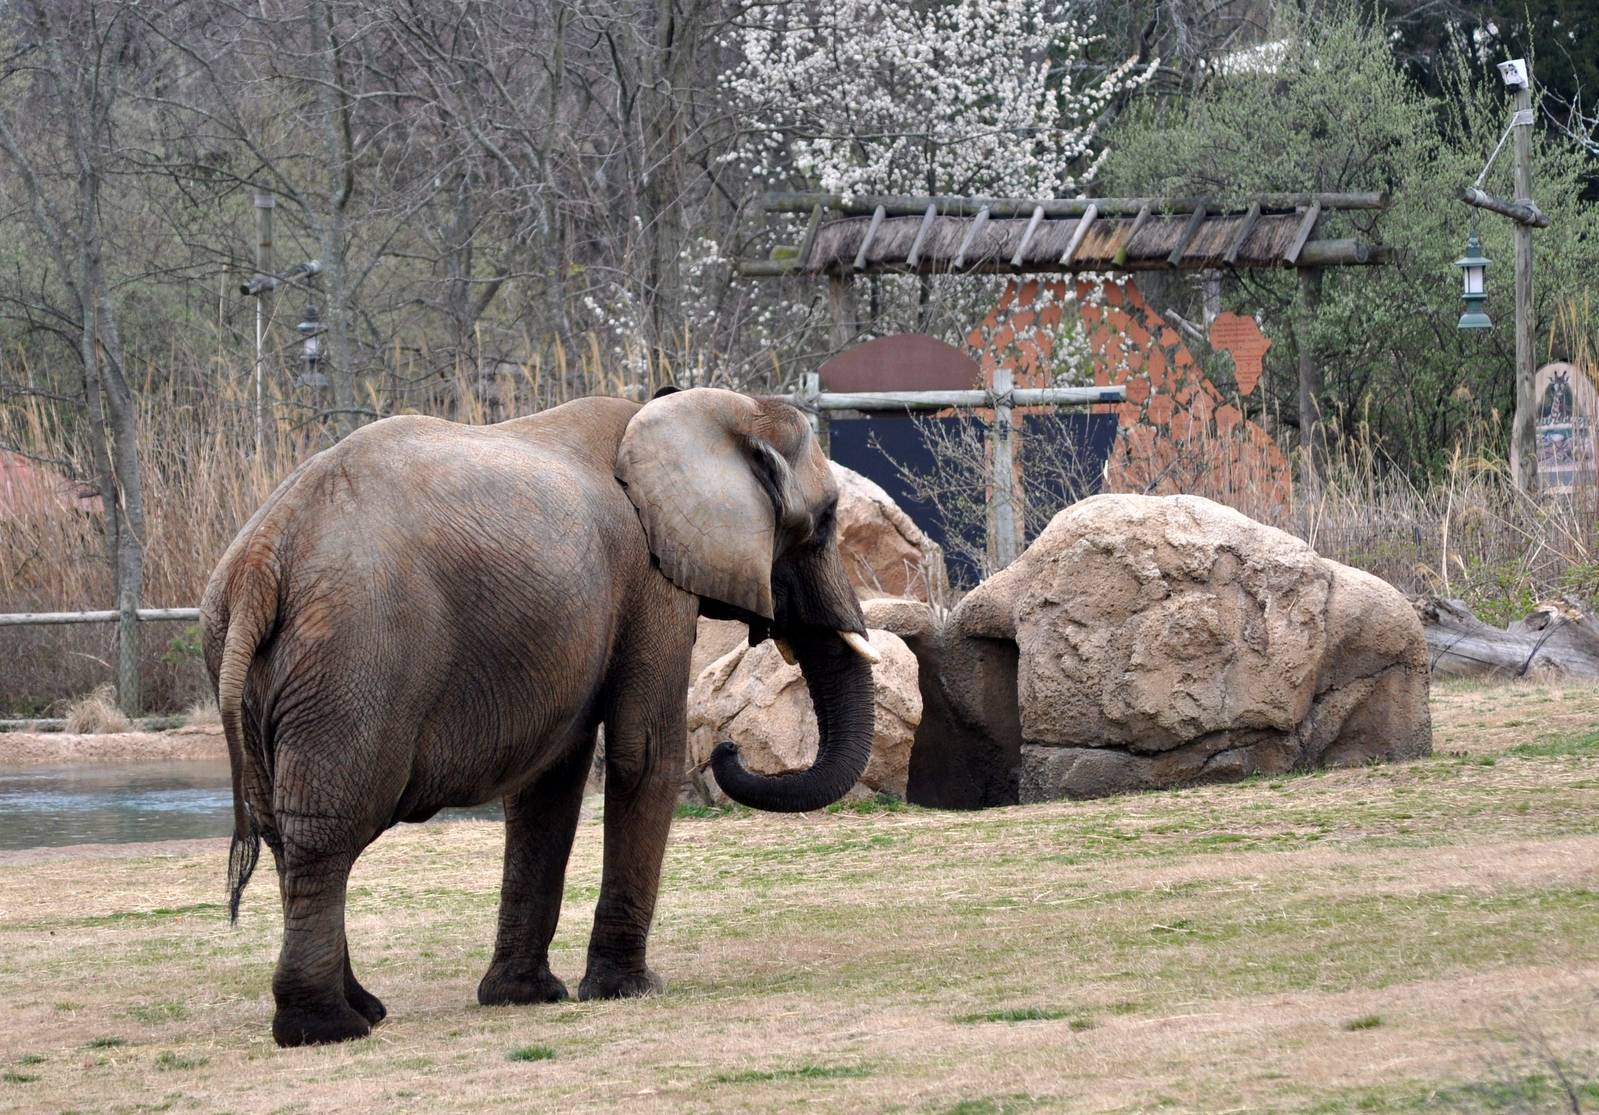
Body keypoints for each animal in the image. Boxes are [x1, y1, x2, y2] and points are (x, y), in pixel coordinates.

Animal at [200, 387, 881, 1047]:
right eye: (824, 522)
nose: (728, 749)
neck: (701, 407)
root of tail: (263, 558)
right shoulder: (650, 580)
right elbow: (643, 753)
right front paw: (628, 991)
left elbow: (548, 783)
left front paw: (524, 997)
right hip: (353, 658)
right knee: (326, 830)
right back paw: (326, 1029)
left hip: (259, 665)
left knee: (287, 831)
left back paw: (364, 1011)